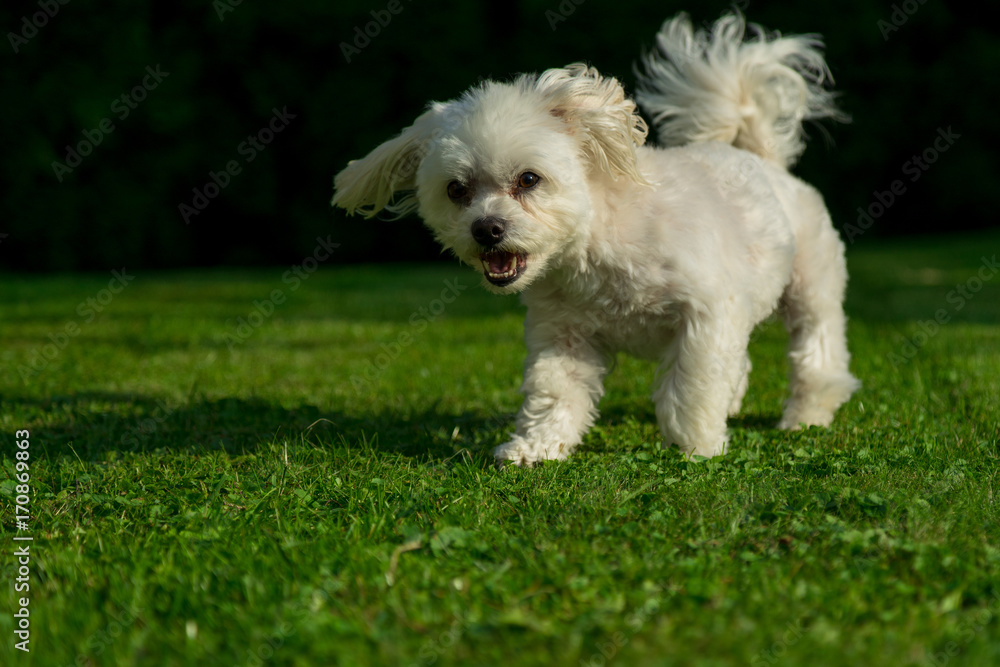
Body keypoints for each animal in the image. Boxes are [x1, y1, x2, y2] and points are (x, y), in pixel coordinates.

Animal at [334, 13, 860, 468]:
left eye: (529, 179)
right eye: (456, 190)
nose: (486, 229)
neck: (599, 242)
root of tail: (760, 158)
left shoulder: (706, 314)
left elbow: (690, 387)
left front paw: (697, 446)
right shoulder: (562, 333)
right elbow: (555, 391)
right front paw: (537, 447)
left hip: (812, 286)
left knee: (816, 354)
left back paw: (806, 416)